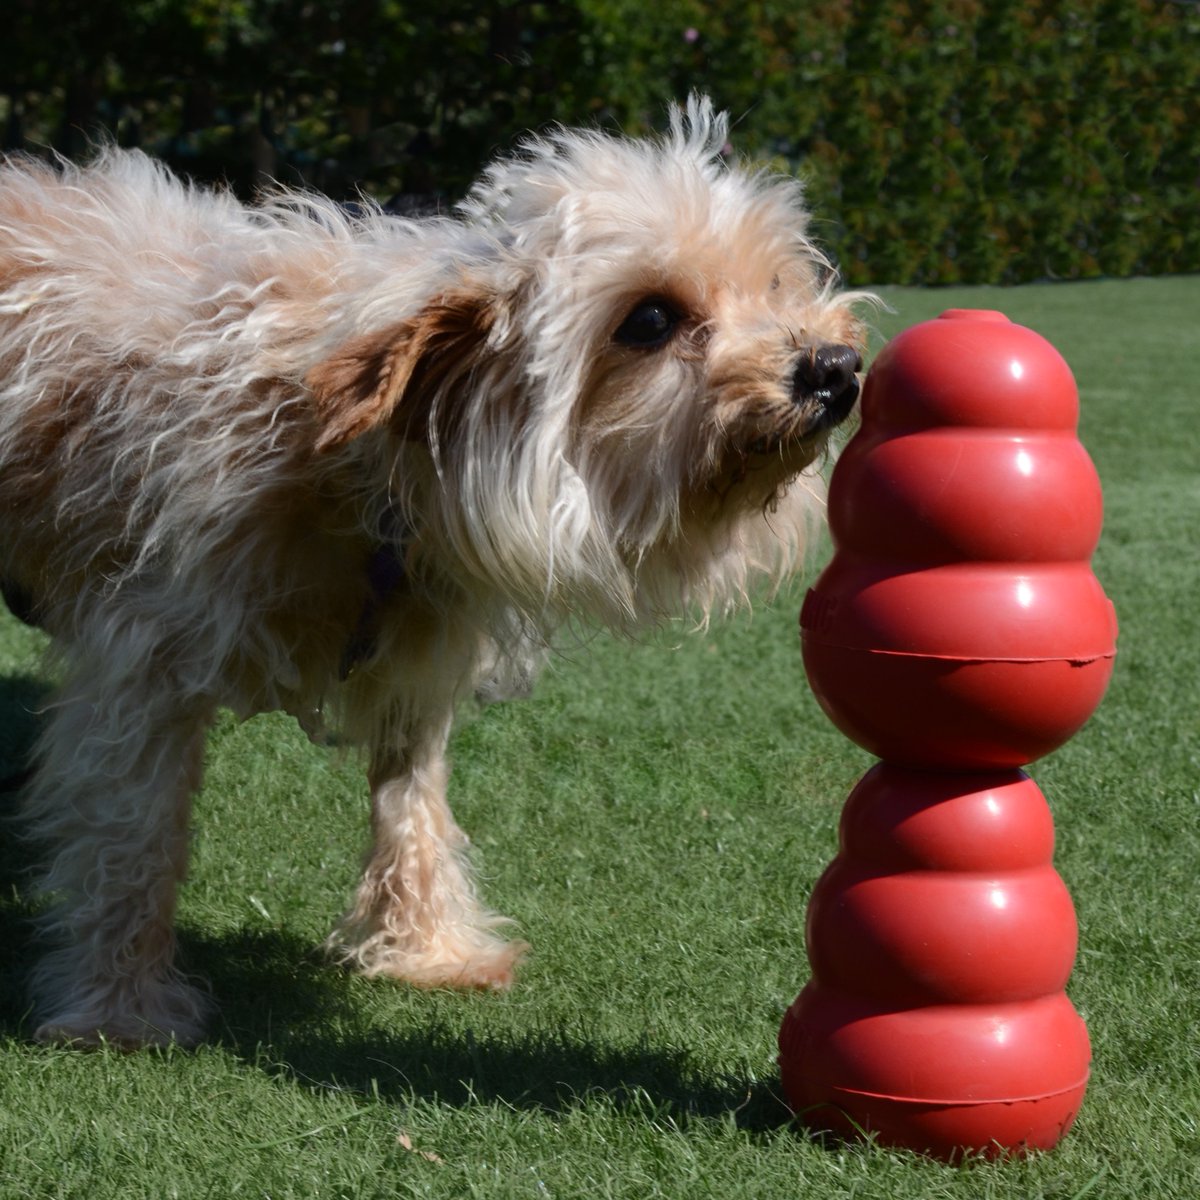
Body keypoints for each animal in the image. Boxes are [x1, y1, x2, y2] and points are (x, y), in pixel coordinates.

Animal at [0, 98, 868, 1046]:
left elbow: (412, 802)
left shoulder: (416, 657)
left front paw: (427, 950)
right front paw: (122, 1008)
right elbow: (135, 837)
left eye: (777, 285)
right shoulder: (142, 664)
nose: (836, 369)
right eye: (650, 320)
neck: (363, 474)